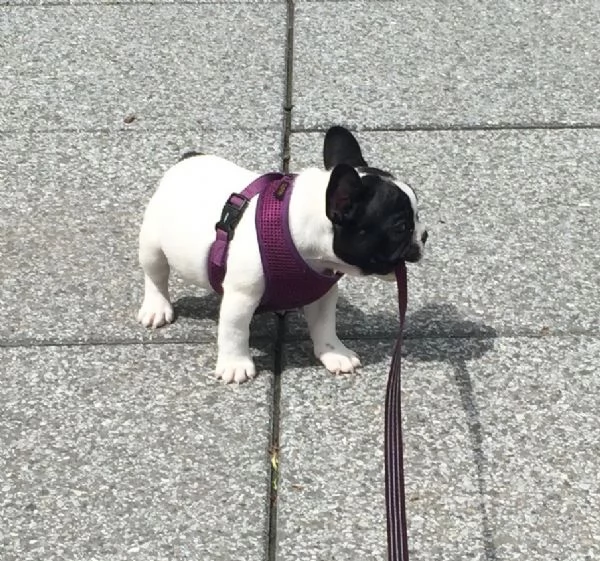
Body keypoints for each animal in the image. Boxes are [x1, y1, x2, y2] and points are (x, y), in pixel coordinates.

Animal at [136, 126, 426, 380]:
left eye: (417, 216)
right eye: (400, 227)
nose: (424, 234)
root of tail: (186, 160)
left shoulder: (322, 292)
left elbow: (325, 325)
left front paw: (335, 353)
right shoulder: (242, 296)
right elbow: (234, 331)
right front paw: (235, 364)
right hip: (152, 246)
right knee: (156, 277)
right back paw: (156, 307)